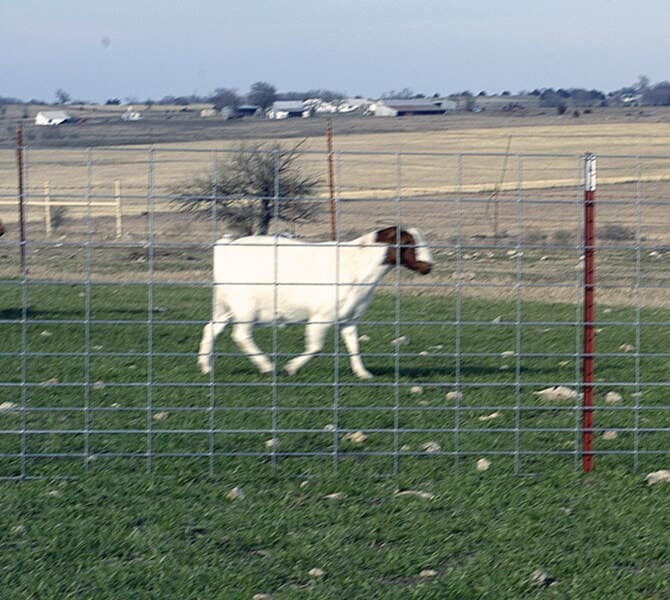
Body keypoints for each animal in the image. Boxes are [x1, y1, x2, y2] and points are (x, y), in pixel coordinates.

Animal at [198, 225, 433, 379]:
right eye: (408, 243)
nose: (428, 266)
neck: (356, 264)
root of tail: (226, 247)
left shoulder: (349, 318)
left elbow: (353, 345)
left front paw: (363, 373)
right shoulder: (321, 317)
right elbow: (316, 346)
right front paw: (291, 368)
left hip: (227, 308)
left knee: (211, 329)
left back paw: (206, 367)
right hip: (245, 307)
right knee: (241, 335)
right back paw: (267, 367)